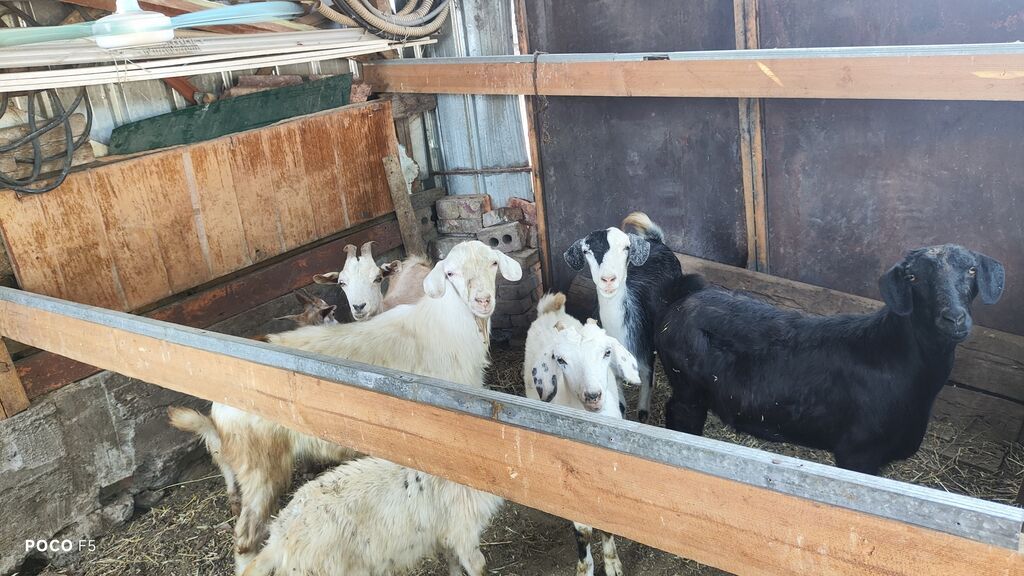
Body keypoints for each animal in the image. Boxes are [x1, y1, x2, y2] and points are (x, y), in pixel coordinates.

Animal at [175, 241, 521, 574]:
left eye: (493, 263)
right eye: (450, 273)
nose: (482, 300)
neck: (448, 326)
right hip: (261, 466)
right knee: (246, 536)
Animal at [524, 293, 639, 576]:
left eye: (607, 352)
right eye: (561, 360)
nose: (593, 396)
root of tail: (550, 311)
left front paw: (612, 563)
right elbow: (583, 528)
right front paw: (585, 567)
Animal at [564, 212, 684, 422]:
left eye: (626, 247)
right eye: (586, 251)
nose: (608, 279)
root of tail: (656, 241)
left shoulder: (645, 357)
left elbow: (643, 413)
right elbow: (620, 407)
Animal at [656, 244, 1005, 475]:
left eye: (972, 270)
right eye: (913, 278)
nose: (953, 319)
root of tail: (684, 297)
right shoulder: (857, 451)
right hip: (687, 386)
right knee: (678, 414)